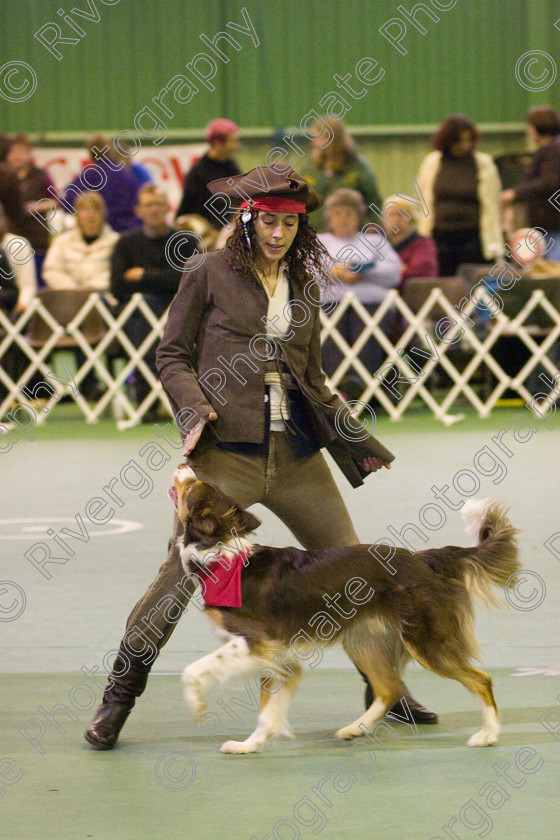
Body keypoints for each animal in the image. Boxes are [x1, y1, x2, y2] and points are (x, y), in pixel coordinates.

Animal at [172, 462, 520, 756]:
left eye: (192, 486)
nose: (183, 463)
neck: (218, 554)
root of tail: (425, 558)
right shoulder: (277, 653)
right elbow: (268, 708)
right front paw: (250, 745)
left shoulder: (257, 641)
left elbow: (195, 669)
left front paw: (197, 705)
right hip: (363, 639)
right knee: (389, 688)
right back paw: (356, 728)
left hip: (426, 640)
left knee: (481, 680)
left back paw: (488, 735)